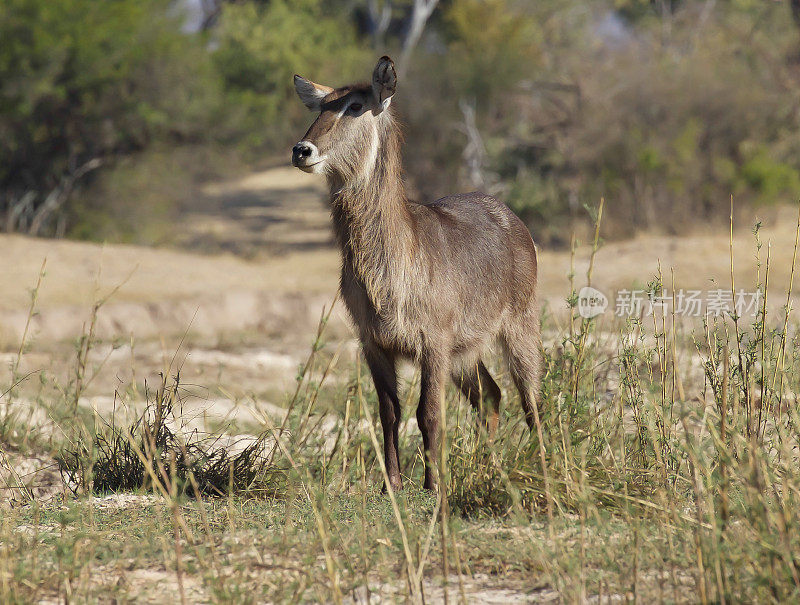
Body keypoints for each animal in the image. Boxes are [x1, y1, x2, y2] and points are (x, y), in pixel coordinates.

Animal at [290, 55, 540, 490]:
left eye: (355, 106)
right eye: (320, 108)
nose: (301, 150)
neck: (392, 268)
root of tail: (511, 216)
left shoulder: (433, 343)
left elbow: (429, 413)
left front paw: (433, 484)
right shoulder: (373, 343)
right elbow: (389, 412)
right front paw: (392, 482)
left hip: (519, 328)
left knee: (532, 401)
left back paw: (547, 463)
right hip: (466, 352)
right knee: (490, 395)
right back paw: (487, 466)